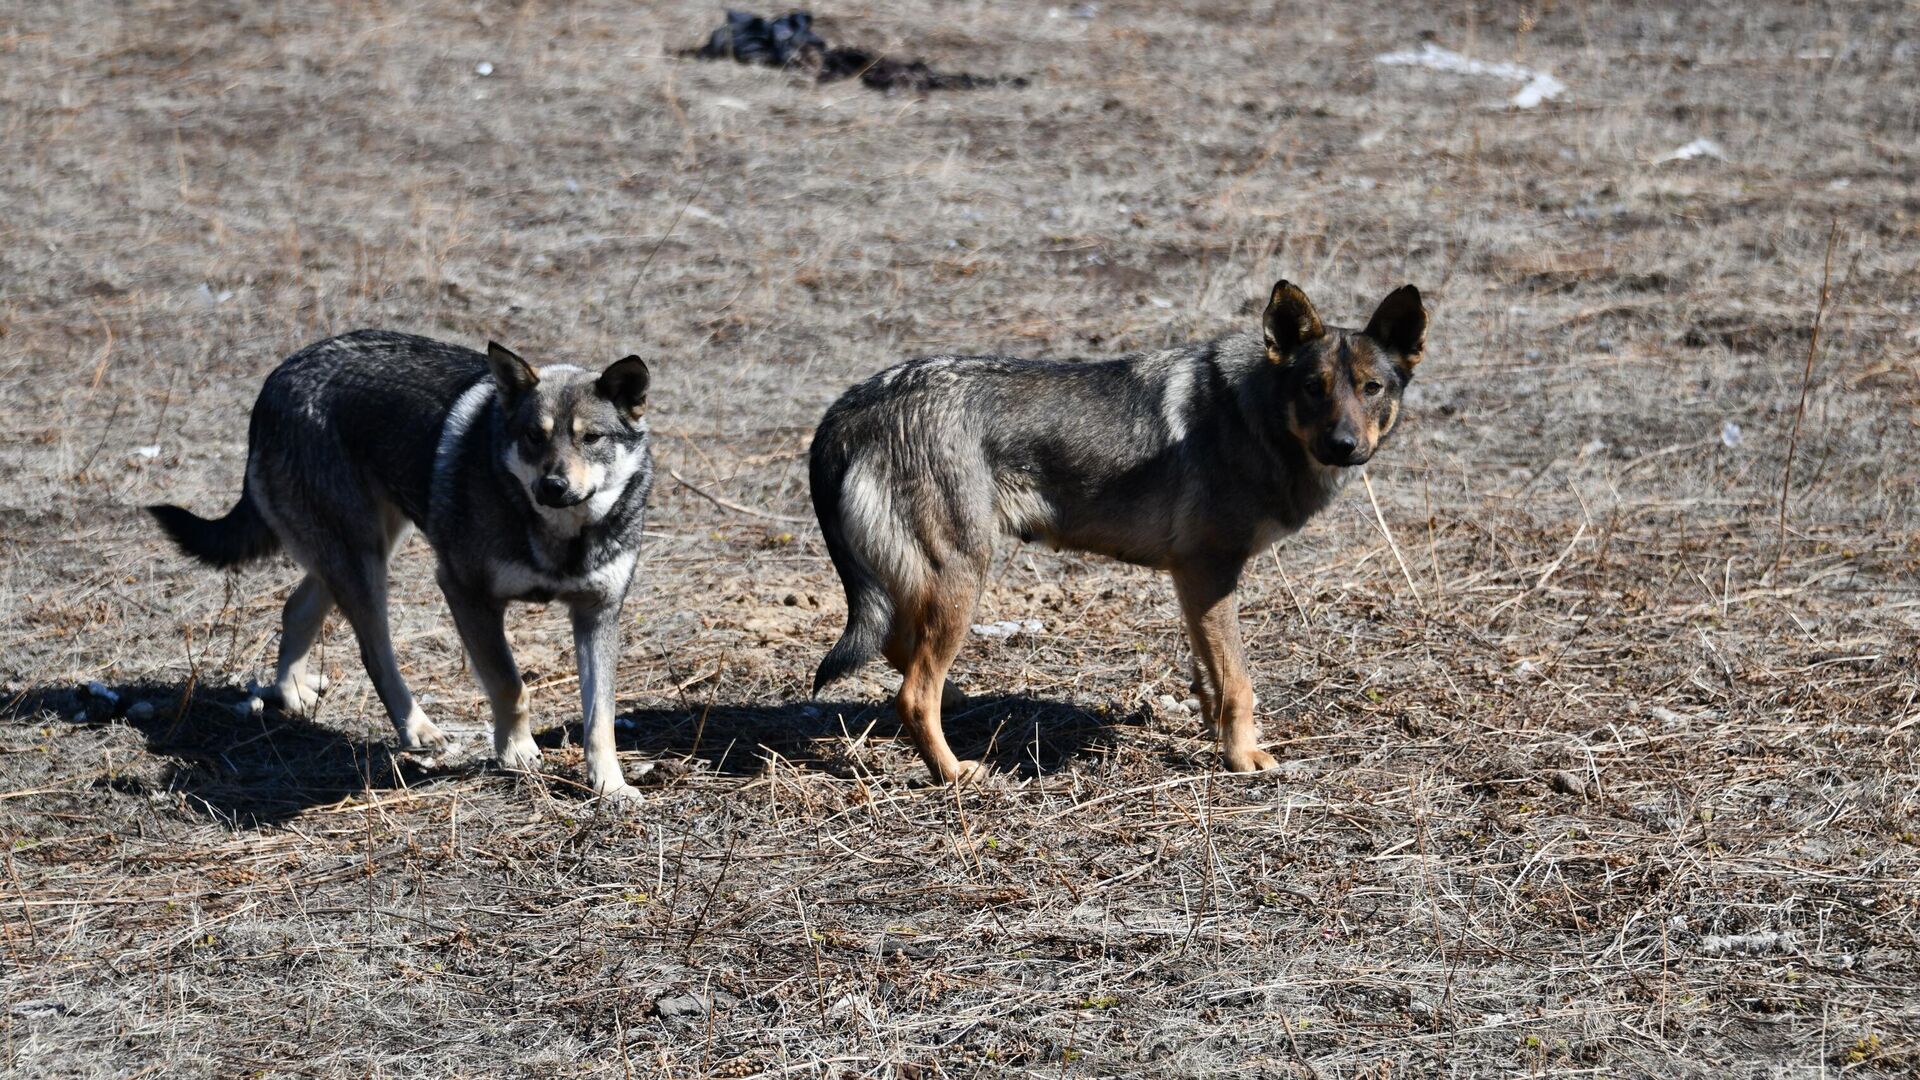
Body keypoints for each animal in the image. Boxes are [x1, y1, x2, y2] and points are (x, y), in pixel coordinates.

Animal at [149, 332, 660, 803]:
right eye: (535, 436)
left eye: (590, 438)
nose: (552, 486)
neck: (561, 537)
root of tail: (279, 376)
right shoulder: (465, 592)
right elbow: (510, 686)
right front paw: (516, 753)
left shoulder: (598, 614)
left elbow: (600, 718)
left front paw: (611, 787)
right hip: (363, 562)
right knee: (374, 653)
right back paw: (417, 728)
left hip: (363, 549)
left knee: (296, 607)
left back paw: (292, 692)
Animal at [810, 276, 1428, 780]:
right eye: (1313, 387)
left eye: (1371, 388)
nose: (1344, 446)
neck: (1255, 416)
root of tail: (851, 405)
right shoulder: (1210, 571)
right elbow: (1239, 682)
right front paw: (1243, 757)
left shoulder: (1195, 583)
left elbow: (1210, 673)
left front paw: (1213, 732)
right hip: (963, 578)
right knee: (913, 693)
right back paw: (956, 772)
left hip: (926, 585)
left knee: (899, 653)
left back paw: (959, 703)